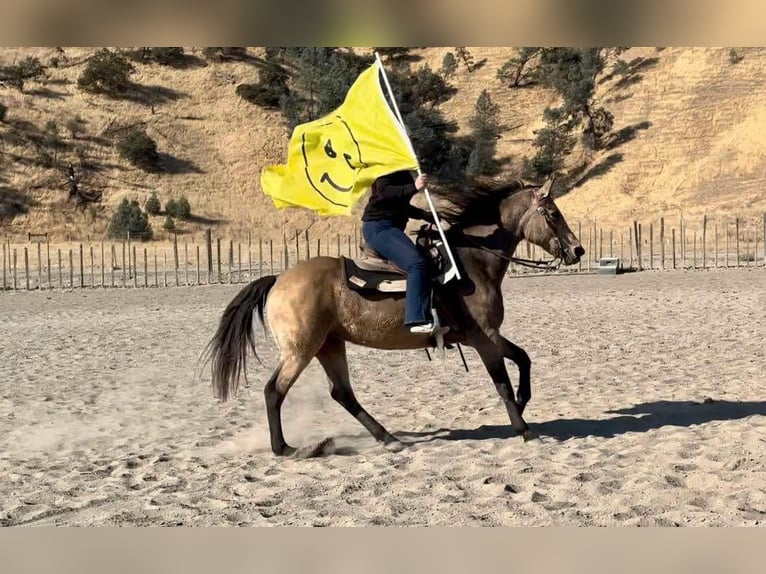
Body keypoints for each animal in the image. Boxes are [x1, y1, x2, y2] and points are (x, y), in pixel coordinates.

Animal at [203, 176, 584, 456]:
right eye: (552, 213)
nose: (577, 249)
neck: (470, 263)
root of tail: (279, 279)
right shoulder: (484, 337)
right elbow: (502, 382)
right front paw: (524, 429)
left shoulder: (486, 335)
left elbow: (523, 358)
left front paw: (523, 400)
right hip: (300, 350)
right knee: (274, 390)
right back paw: (285, 448)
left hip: (329, 345)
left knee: (342, 393)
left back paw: (388, 438)